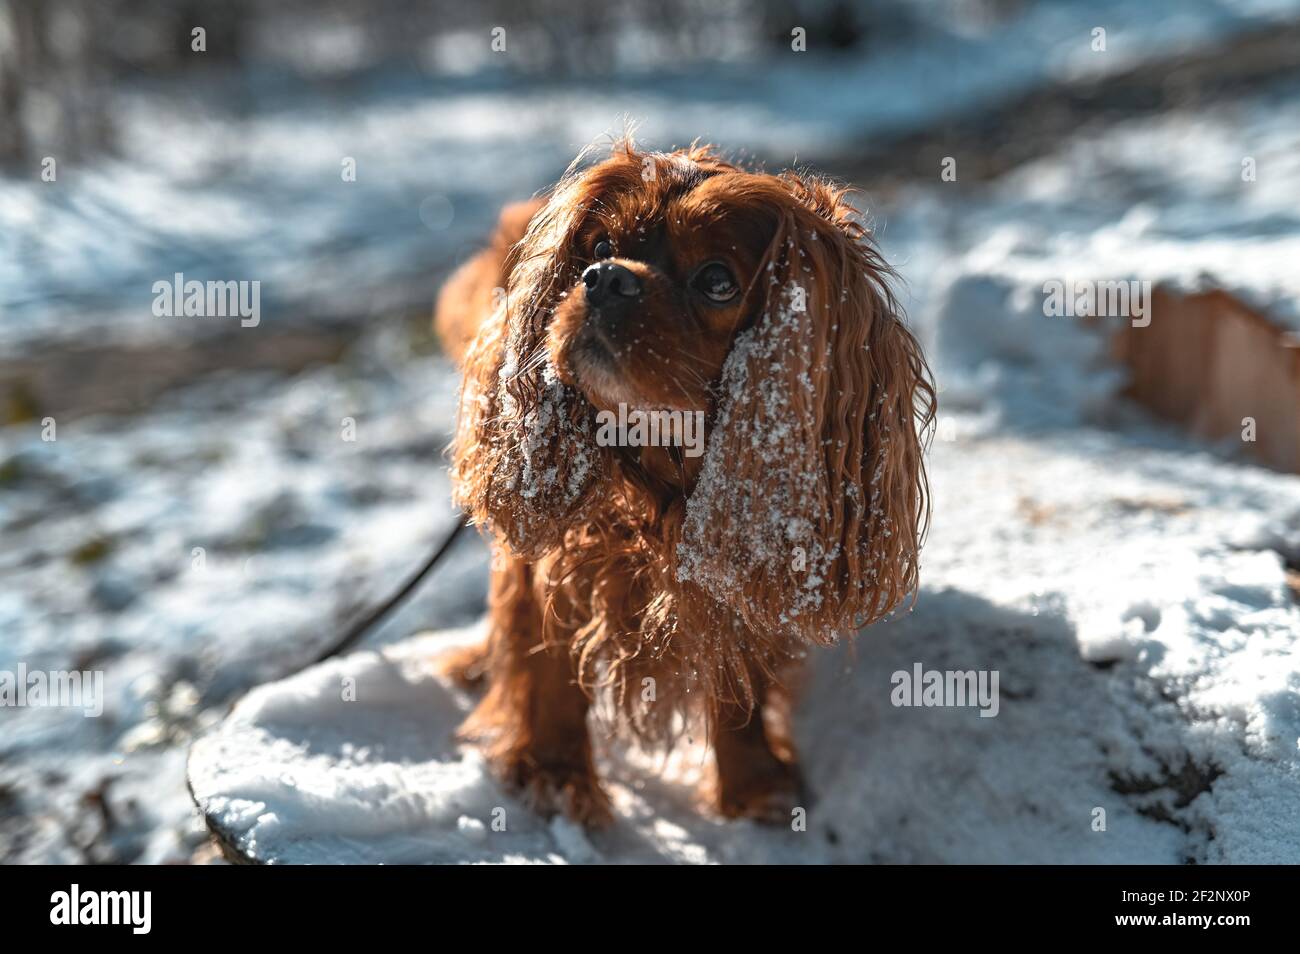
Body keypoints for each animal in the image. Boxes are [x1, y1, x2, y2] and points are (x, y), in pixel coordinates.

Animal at [436, 141, 935, 831]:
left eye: (717, 280)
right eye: (598, 247)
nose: (606, 278)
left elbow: (740, 679)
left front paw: (754, 785)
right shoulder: (556, 559)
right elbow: (546, 660)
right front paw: (555, 777)